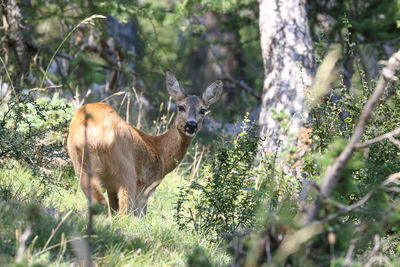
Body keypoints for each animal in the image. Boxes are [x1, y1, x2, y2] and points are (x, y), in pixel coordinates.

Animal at [66, 71, 222, 218]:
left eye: (203, 110)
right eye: (181, 107)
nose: (191, 125)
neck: (160, 153)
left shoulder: (111, 187)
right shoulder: (145, 184)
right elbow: (140, 215)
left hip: (80, 164)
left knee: (99, 203)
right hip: (126, 170)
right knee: (123, 213)